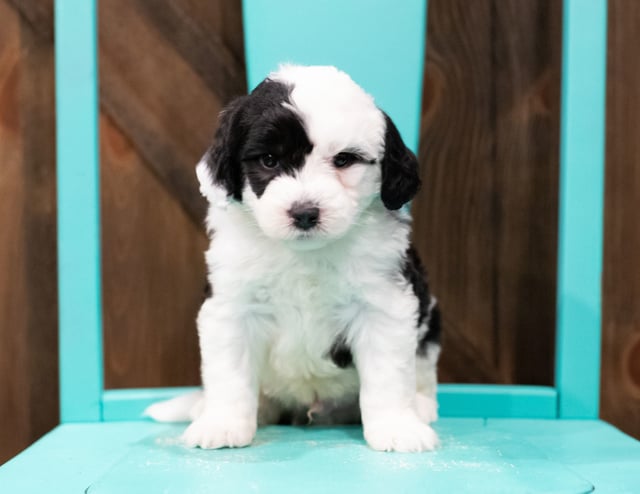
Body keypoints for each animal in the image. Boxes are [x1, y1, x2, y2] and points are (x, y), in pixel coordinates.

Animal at [148, 64, 442, 452]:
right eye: (269, 160)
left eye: (344, 160)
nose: (304, 213)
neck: (303, 253)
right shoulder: (232, 305)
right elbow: (229, 372)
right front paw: (222, 424)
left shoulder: (383, 303)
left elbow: (388, 374)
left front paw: (397, 426)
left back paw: (420, 406)